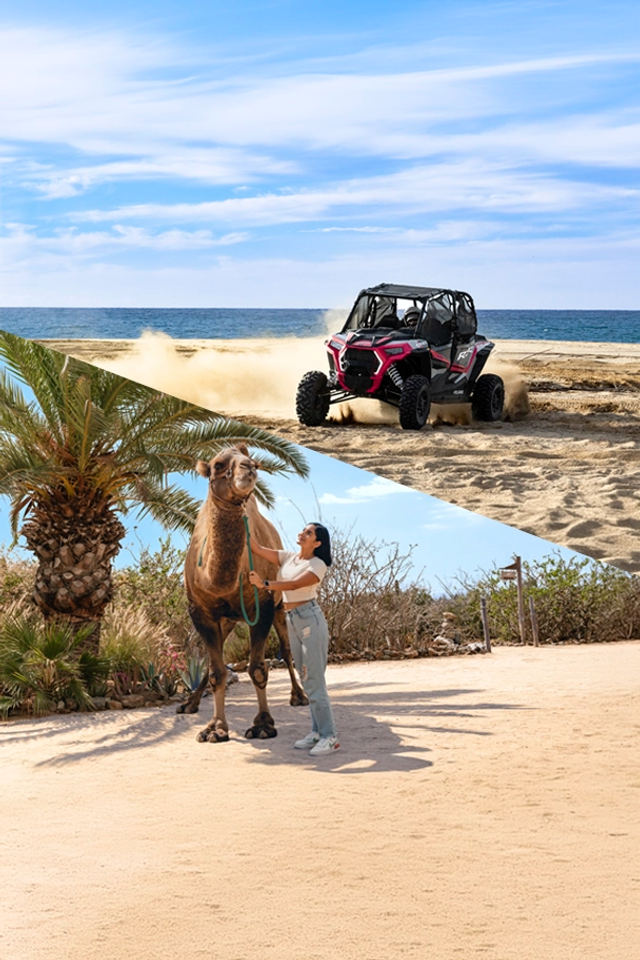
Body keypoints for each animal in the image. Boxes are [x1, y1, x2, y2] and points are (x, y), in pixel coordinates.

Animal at [179, 443, 308, 742]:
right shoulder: (200, 612)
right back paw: (189, 704)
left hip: (279, 608)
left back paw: (299, 696)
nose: (249, 467)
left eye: (252, 462)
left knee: (287, 649)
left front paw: (263, 725)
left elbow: (257, 668)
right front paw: (214, 728)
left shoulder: (262, 606)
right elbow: (216, 670)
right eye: (217, 465)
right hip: (227, 619)